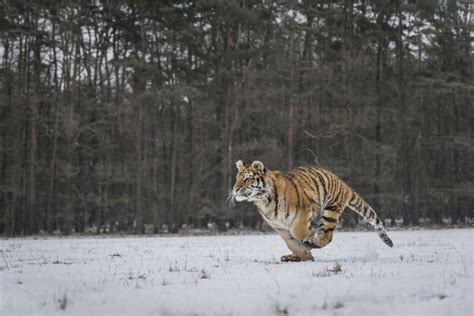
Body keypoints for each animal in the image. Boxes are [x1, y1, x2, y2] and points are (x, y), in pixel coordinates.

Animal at [232, 160, 392, 262]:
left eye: (247, 178)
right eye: (237, 178)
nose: (235, 190)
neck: (264, 201)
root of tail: (341, 181)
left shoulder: (303, 211)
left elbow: (297, 232)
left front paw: (308, 241)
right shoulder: (280, 227)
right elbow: (292, 243)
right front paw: (305, 256)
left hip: (330, 210)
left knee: (327, 235)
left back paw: (314, 242)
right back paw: (292, 256)